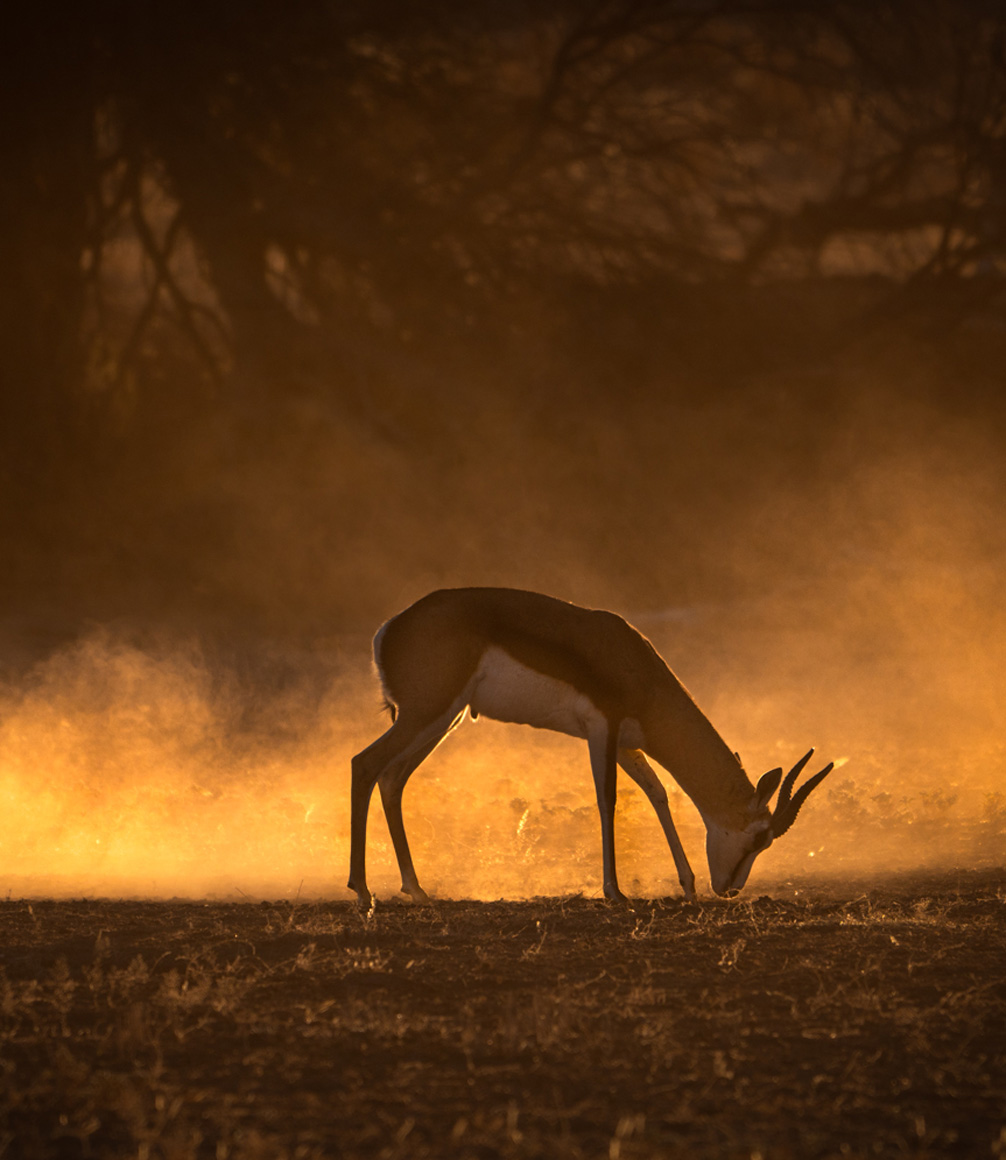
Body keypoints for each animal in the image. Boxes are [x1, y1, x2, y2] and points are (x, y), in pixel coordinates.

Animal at [348, 587, 833, 907]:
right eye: (759, 837)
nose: (730, 889)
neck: (633, 665)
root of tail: (388, 629)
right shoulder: (603, 727)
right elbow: (608, 799)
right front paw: (615, 892)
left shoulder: (625, 743)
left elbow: (658, 794)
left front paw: (687, 883)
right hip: (426, 714)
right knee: (364, 764)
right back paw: (363, 891)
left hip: (442, 719)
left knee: (392, 779)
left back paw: (416, 889)